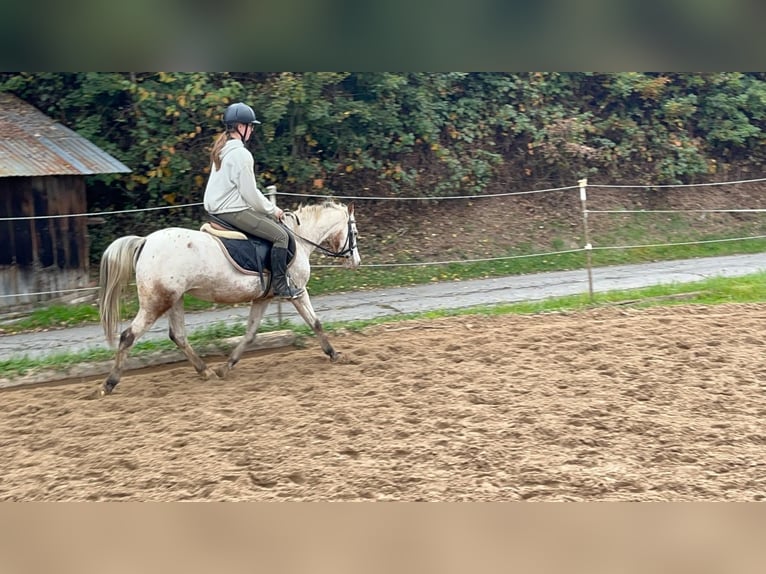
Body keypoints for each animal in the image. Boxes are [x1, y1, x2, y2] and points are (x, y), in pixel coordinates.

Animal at [97, 200, 361, 397]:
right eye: (355, 232)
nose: (356, 262)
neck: (300, 238)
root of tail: (145, 241)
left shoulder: (263, 298)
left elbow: (251, 334)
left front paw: (227, 366)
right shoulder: (298, 291)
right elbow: (315, 322)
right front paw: (334, 354)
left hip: (174, 300)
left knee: (178, 336)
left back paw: (206, 372)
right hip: (156, 302)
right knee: (128, 336)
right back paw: (109, 383)